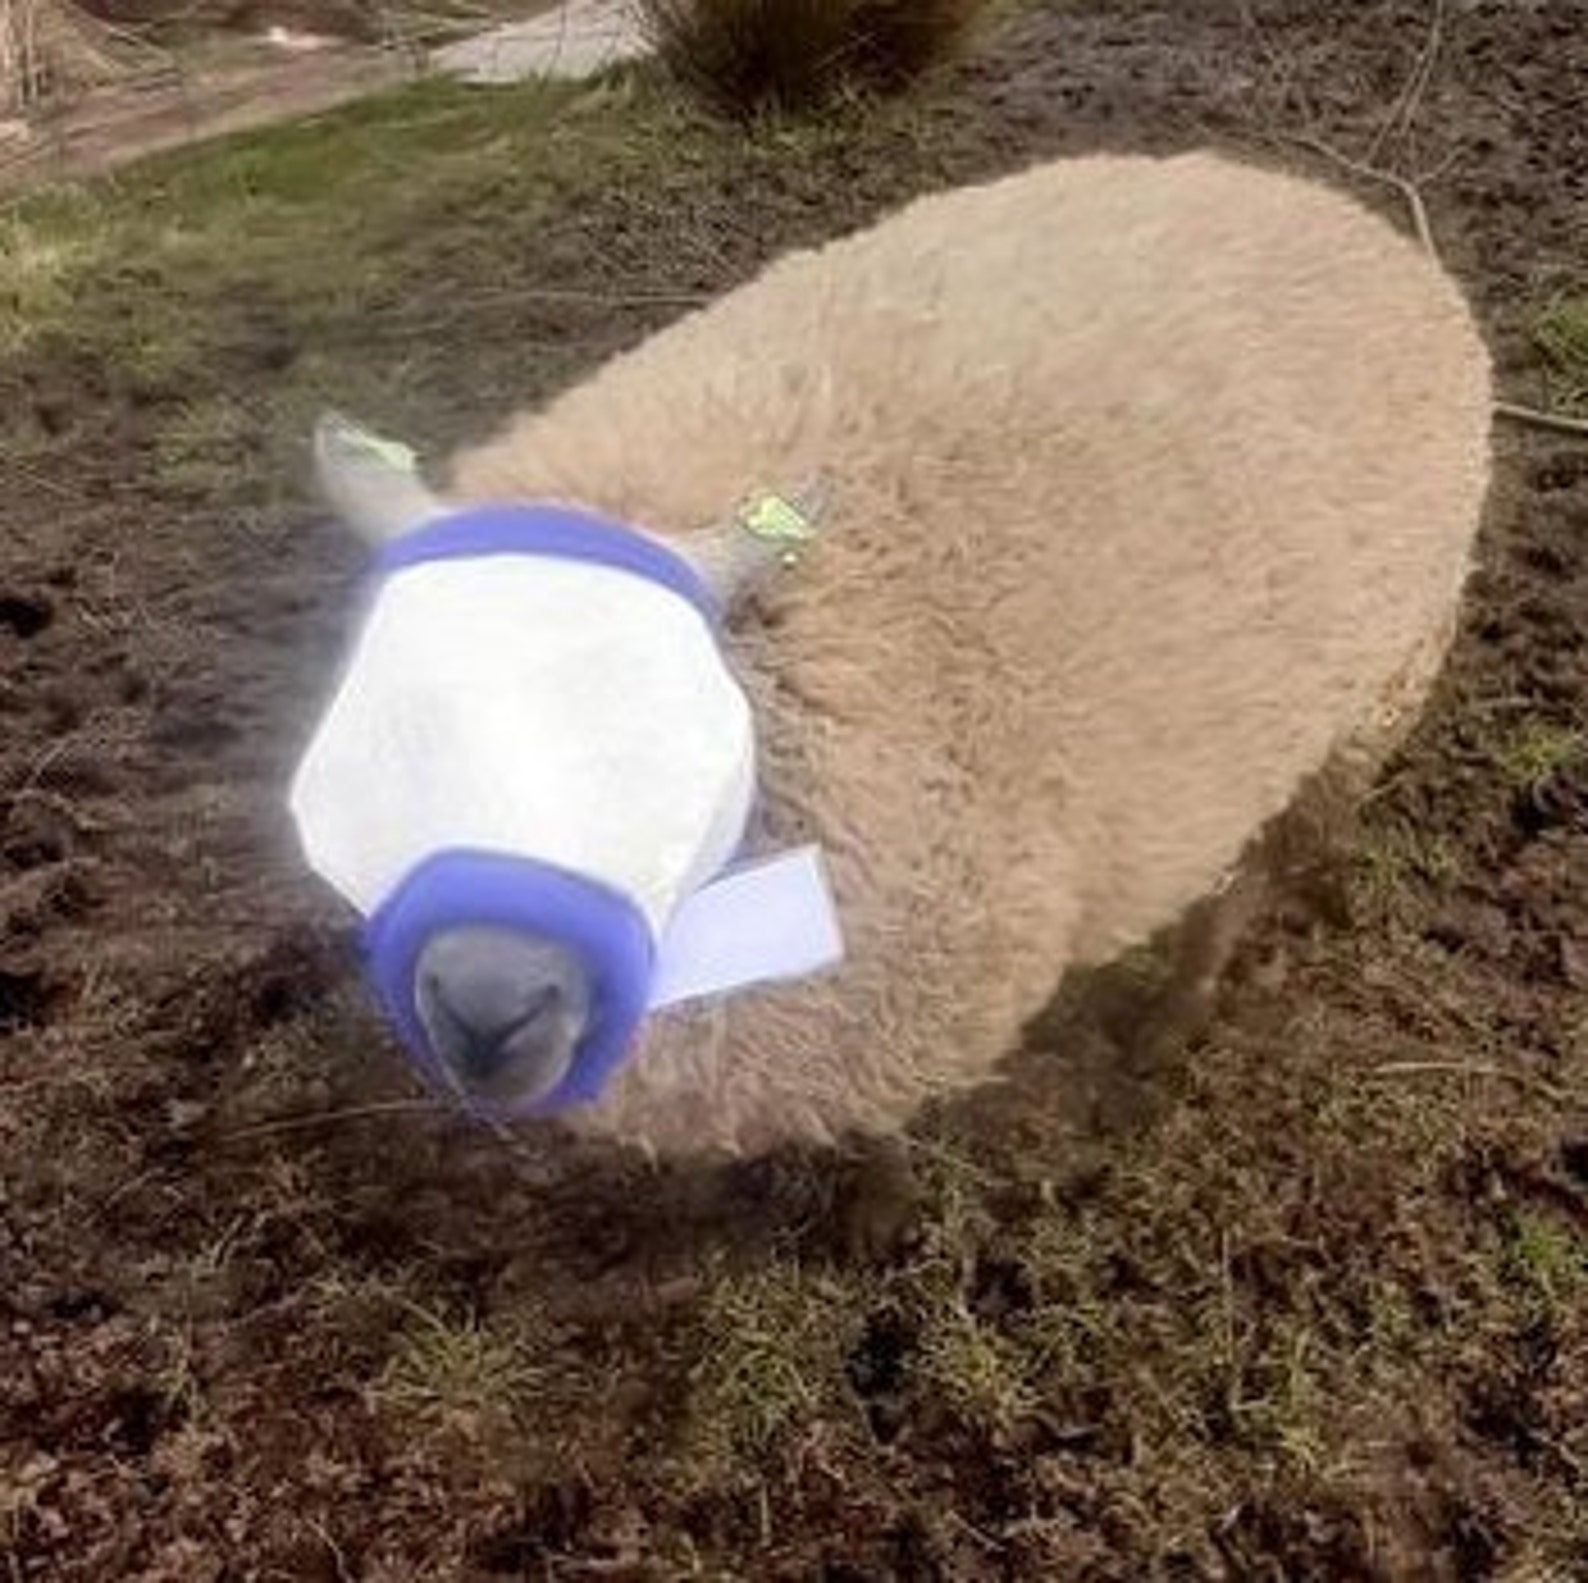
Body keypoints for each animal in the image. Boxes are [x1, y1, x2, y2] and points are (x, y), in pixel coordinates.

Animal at [299, 149, 1493, 1164]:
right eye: (398, 719)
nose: (484, 1014)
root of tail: (1328, 202)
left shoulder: (903, 1010)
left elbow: (880, 1134)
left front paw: (872, 1209)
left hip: (1374, 689)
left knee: (1259, 872)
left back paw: (1176, 1012)